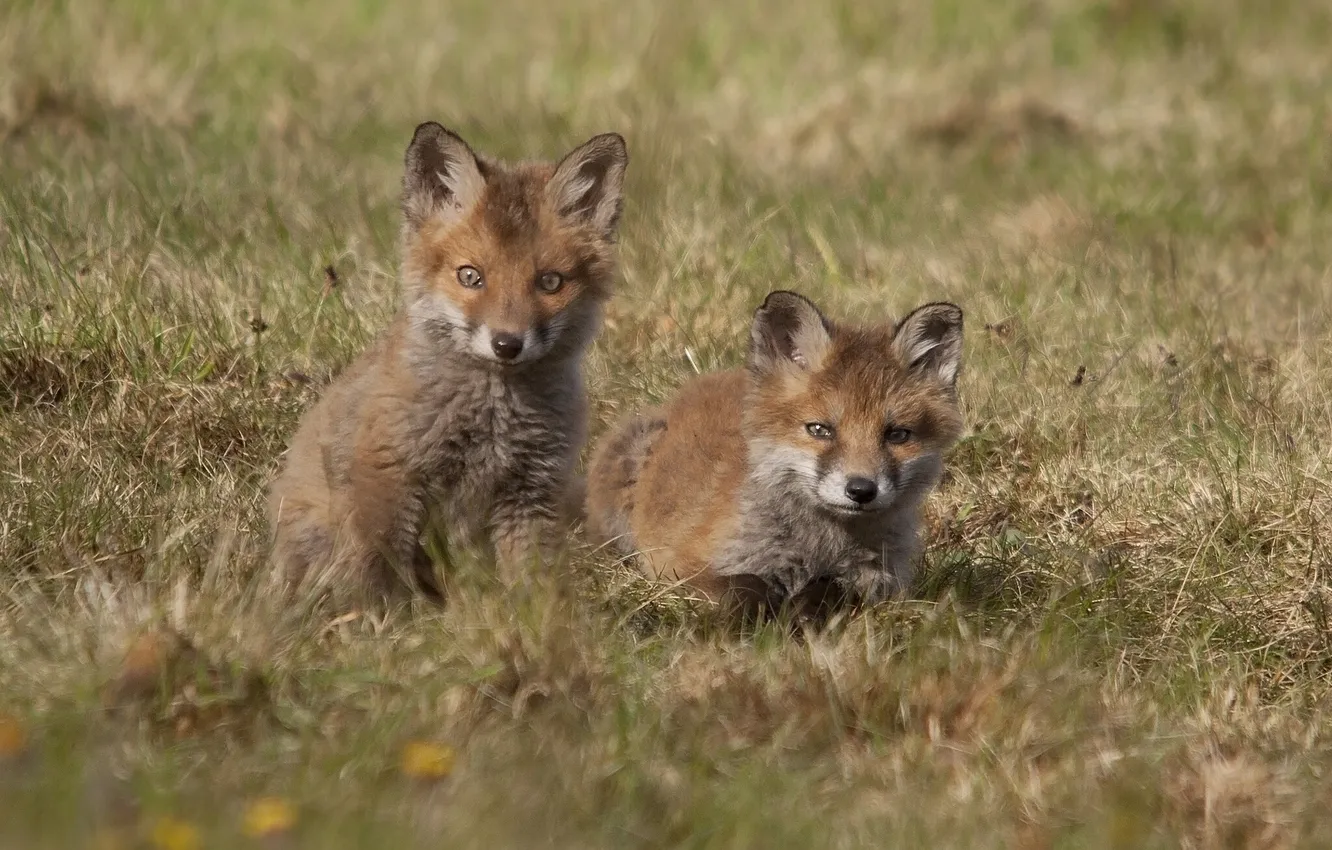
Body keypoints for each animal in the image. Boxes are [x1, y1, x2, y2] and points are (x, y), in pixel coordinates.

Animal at [269, 121, 628, 604]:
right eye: (470, 276)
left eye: (550, 282)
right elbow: (378, 571)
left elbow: (532, 583)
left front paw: (539, 619)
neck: (493, 418)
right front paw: (376, 619)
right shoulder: (389, 475)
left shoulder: (532, 491)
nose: (507, 344)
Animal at [585, 290, 964, 613]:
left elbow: (832, 592)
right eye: (820, 430)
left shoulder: (880, 582)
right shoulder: (681, 565)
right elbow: (744, 588)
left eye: (897, 435)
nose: (861, 490)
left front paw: (803, 616)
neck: (821, 546)